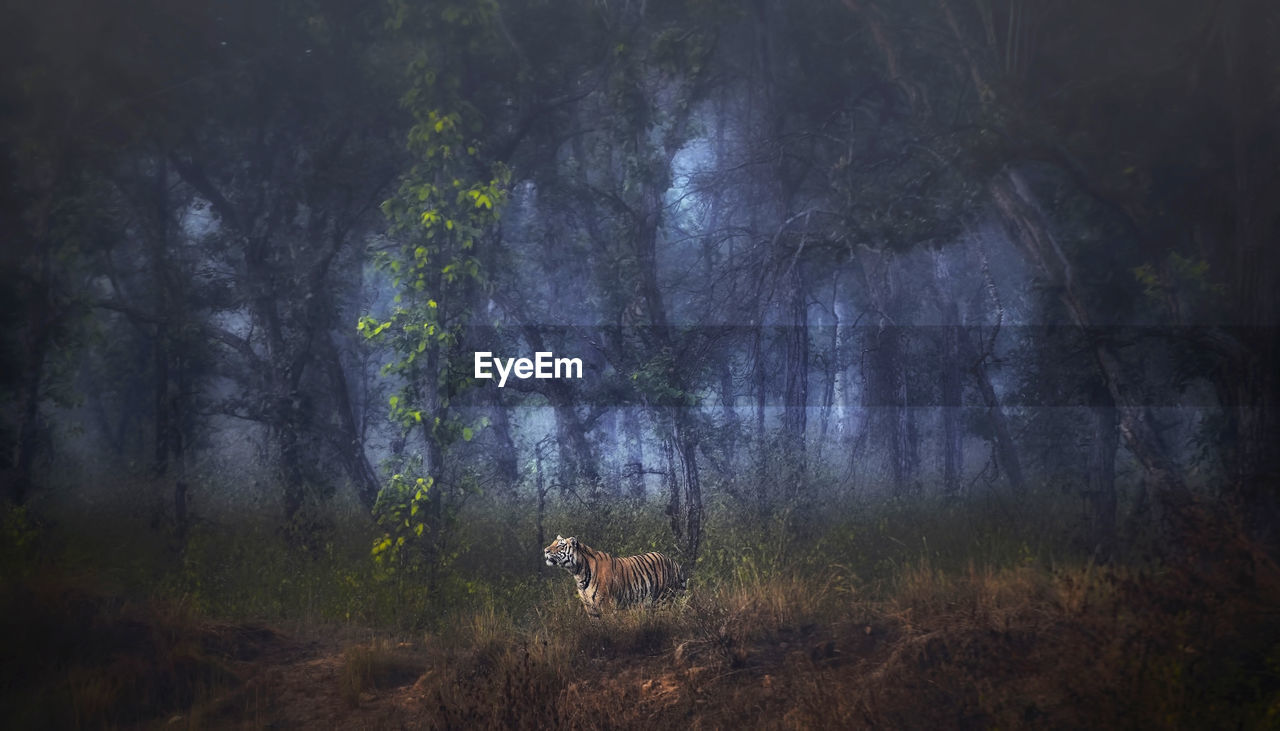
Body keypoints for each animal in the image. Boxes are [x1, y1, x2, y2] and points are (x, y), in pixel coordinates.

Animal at [550, 535, 691, 614]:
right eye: (552, 544)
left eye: (560, 546)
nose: (546, 551)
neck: (578, 573)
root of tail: (674, 562)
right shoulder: (590, 608)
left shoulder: (606, 604)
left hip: (663, 599)